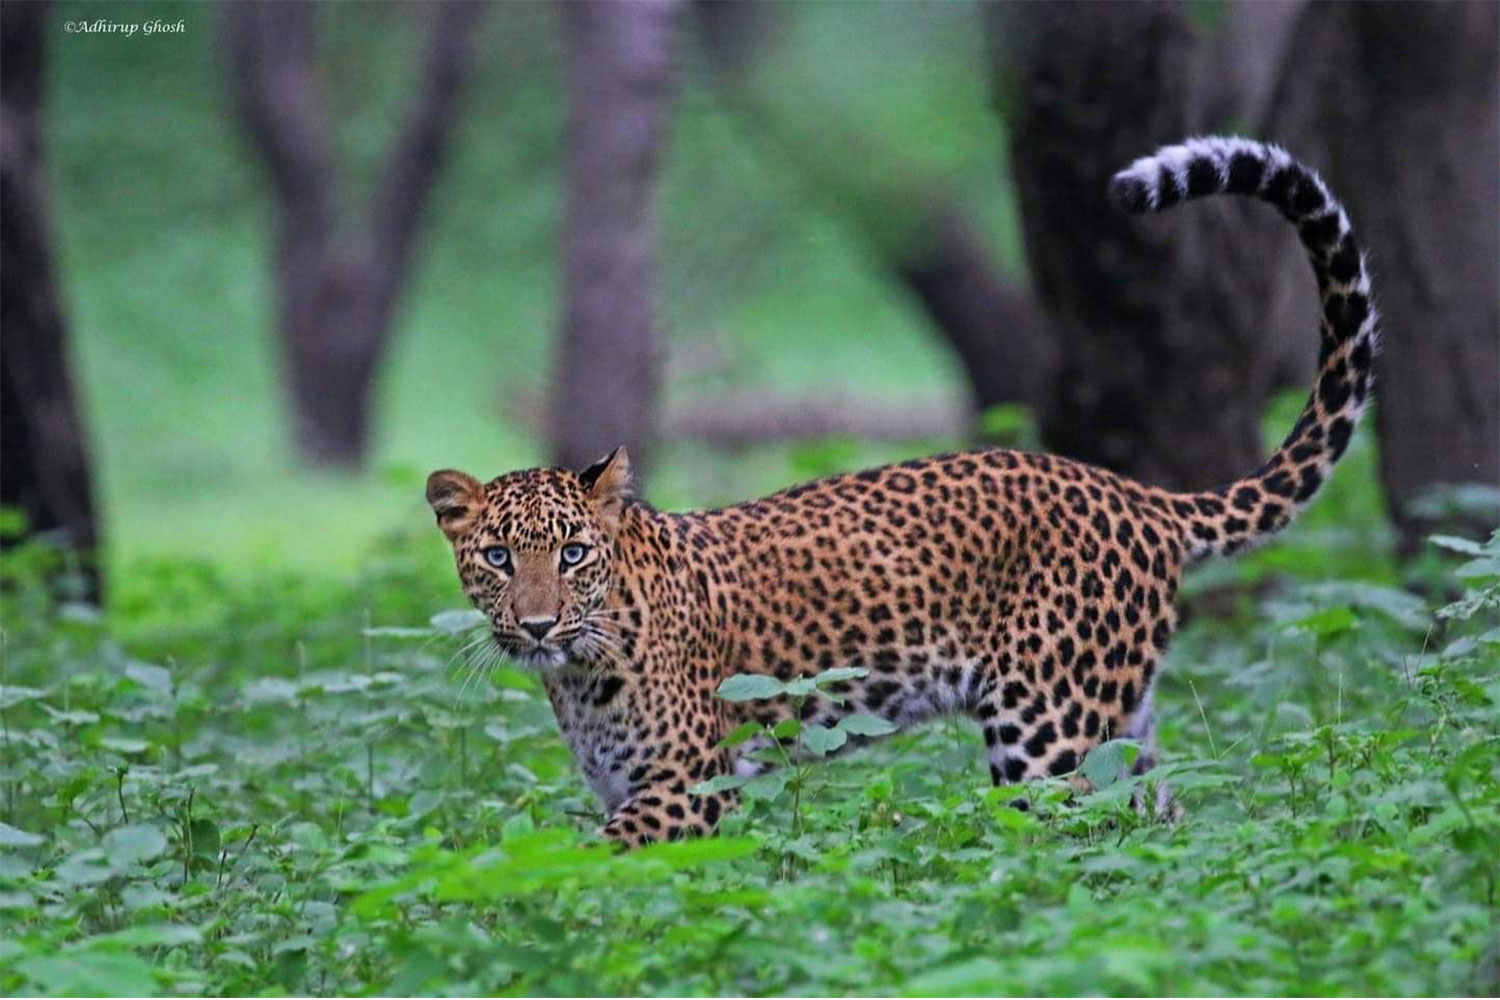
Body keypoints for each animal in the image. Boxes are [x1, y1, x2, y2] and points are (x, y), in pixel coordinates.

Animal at [426, 138, 1380, 845]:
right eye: (499, 557)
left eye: (573, 553)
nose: (537, 625)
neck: (583, 669)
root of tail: (1135, 494)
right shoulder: (631, 782)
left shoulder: (690, 786)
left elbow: (593, 857)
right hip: (1118, 725)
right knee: (1162, 825)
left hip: (1047, 732)